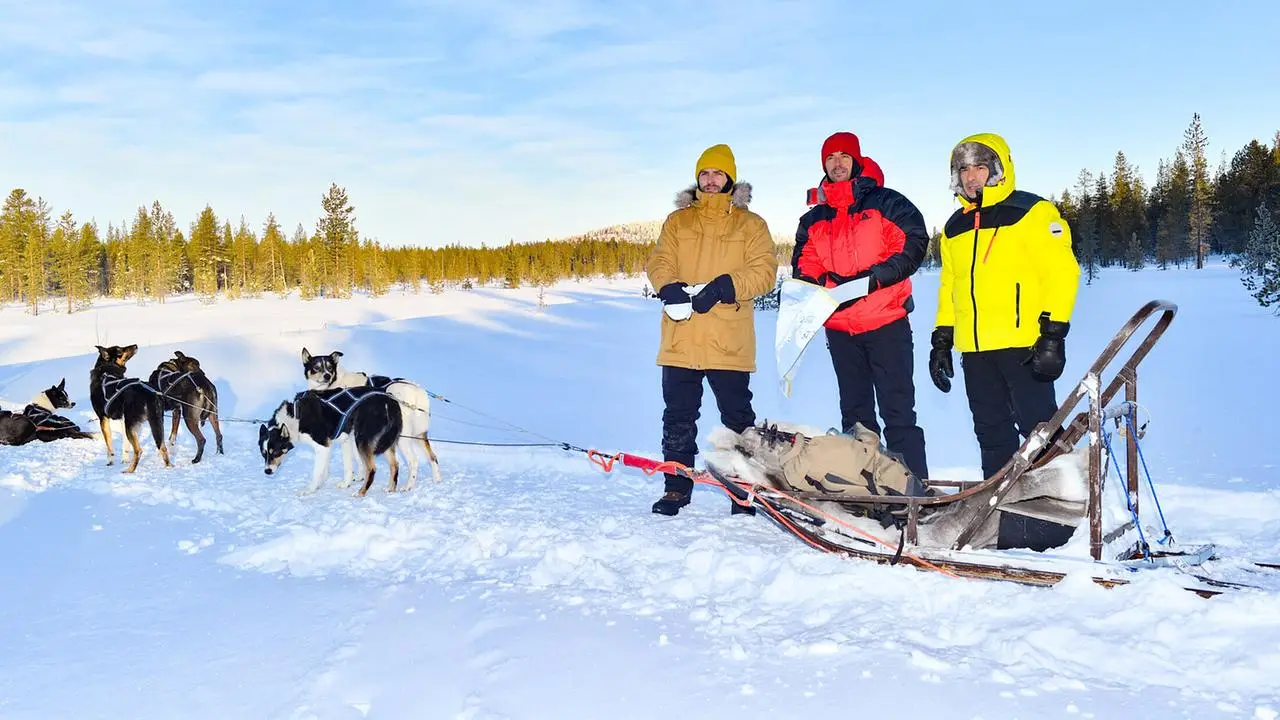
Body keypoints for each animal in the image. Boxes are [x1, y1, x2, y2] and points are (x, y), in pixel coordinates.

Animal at [300, 345, 445, 489]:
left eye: (330, 367)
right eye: (316, 367)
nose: (327, 376)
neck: (335, 384)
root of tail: (417, 392)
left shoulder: (348, 437)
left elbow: (352, 461)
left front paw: (347, 482)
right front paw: (359, 477)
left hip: (402, 437)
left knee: (414, 461)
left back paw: (408, 486)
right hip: (419, 434)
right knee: (433, 456)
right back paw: (437, 479)